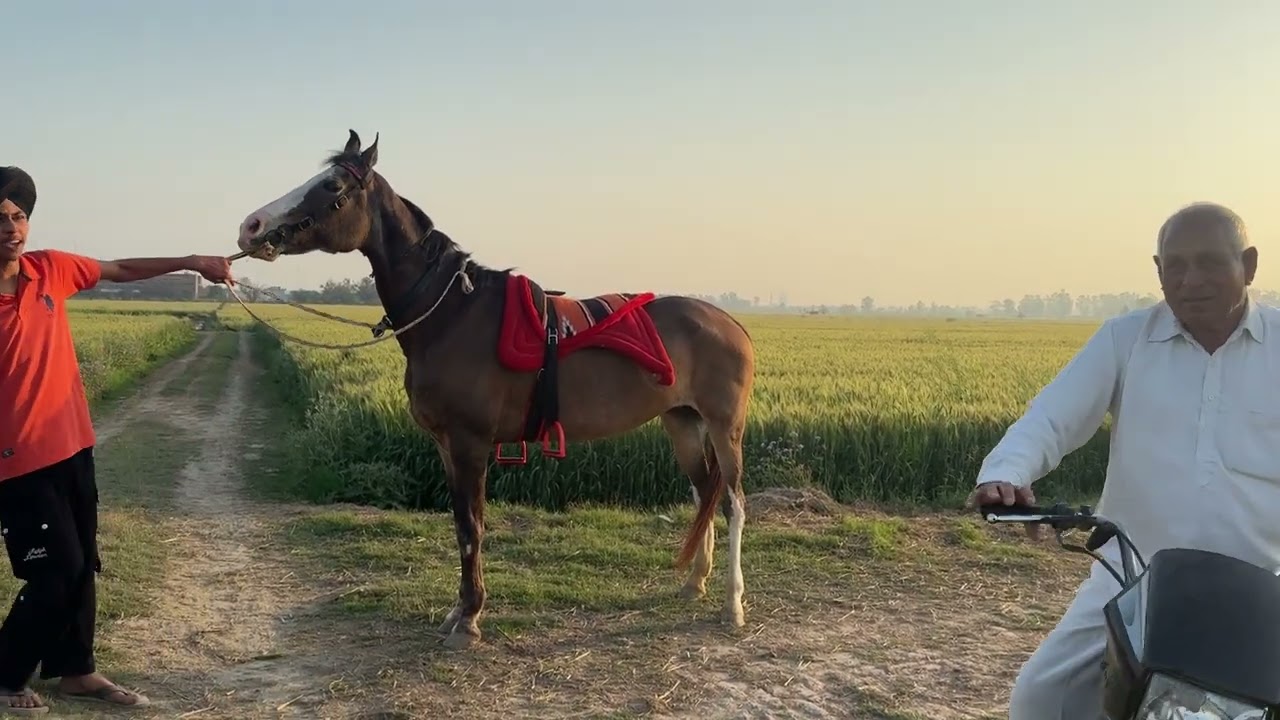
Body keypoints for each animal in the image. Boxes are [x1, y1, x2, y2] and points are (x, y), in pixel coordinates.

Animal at [233, 130, 756, 650]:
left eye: (332, 186)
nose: (251, 226)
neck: (451, 315)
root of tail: (732, 324)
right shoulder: (446, 445)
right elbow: (462, 523)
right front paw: (459, 609)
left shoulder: (471, 443)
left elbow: (472, 527)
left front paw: (469, 617)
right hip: (683, 422)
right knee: (703, 492)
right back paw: (695, 581)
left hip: (724, 427)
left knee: (732, 502)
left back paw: (732, 603)